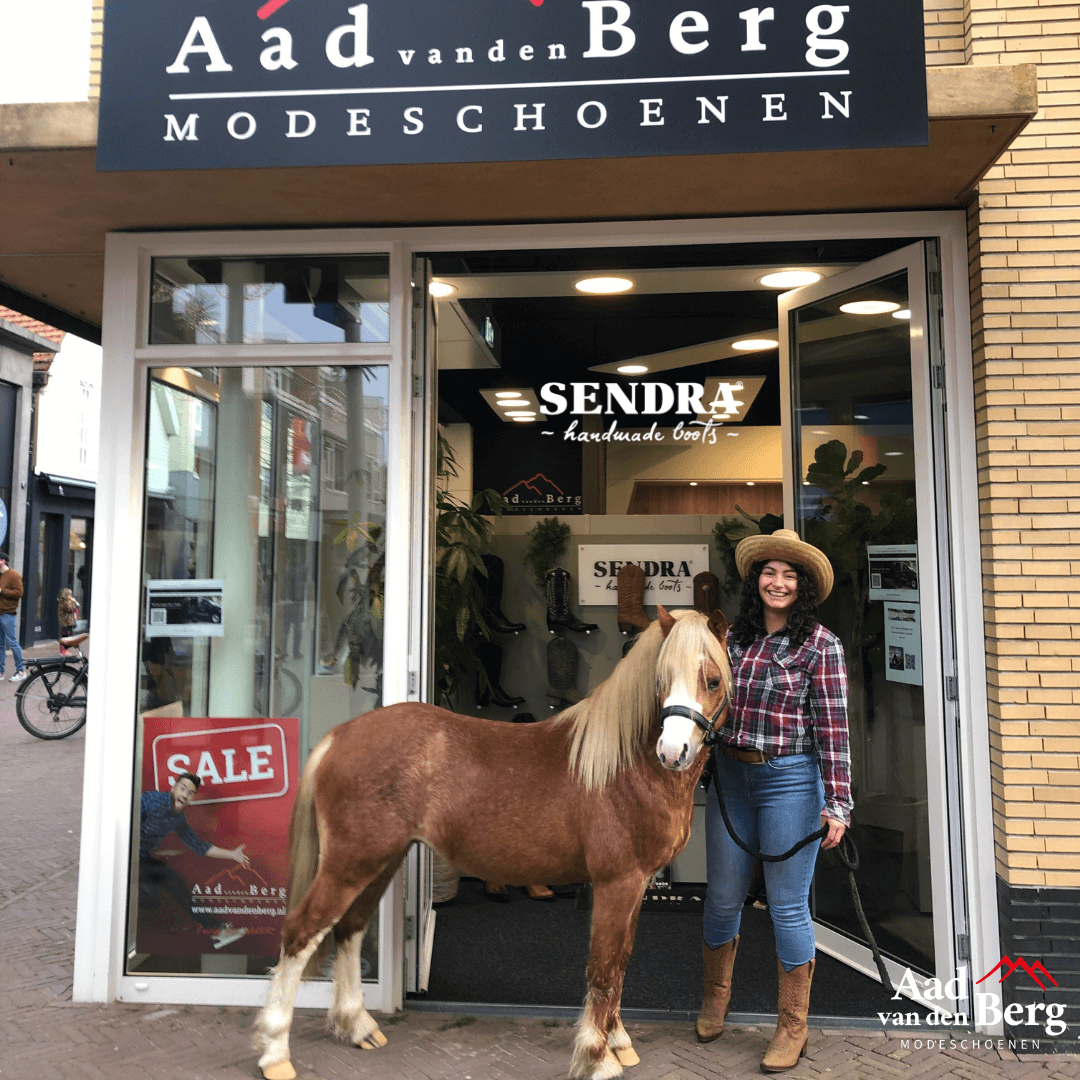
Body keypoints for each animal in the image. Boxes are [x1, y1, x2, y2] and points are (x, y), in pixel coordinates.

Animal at [253, 609, 730, 1080]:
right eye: (660, 680)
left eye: (712, 681)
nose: (673, 751)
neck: (622, 766)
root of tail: (340, 737)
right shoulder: (617, 883)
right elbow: (604, 967)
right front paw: (597, 1058)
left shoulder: (636, 886)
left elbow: (621, 962)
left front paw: (618, 1042)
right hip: (350, 863)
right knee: (301, 932)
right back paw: (275, 1053)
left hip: (380, 860)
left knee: (349, 928)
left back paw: (358, 1027)